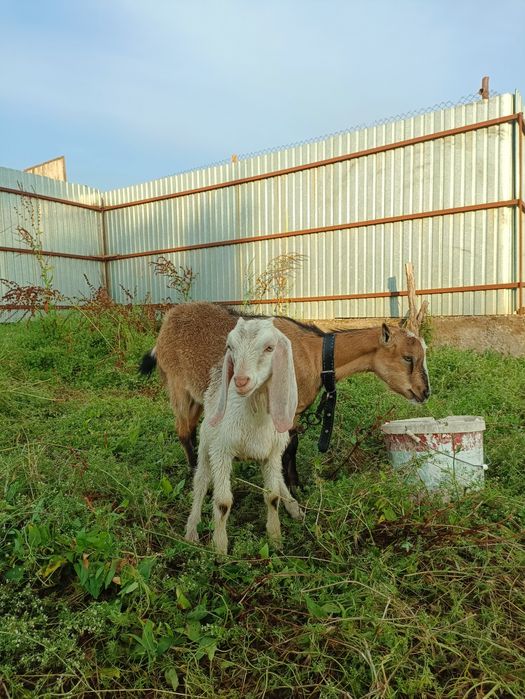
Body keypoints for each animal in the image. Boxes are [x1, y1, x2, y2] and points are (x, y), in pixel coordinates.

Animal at [140, 302, 431, 488]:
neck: (314, 354)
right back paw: (196, 476)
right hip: (178, 386)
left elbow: (291, 446)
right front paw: (291, 488)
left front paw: (294, 485)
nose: (424, 392)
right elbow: (288, 449)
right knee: (183, 431)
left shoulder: (295, 410)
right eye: (408, 357)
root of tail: (165, 326)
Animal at [184, 317, 303, 554]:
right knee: (201, 480)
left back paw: (294, 508)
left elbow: (272, 496)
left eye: (270, 347)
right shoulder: (221, 451)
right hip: (206, 443)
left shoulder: (272, 454)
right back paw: (191, 530)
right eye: (230, 347)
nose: (240, 381)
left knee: (279, 479)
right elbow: (223, 502)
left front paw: (275, 539)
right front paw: (220, 548)